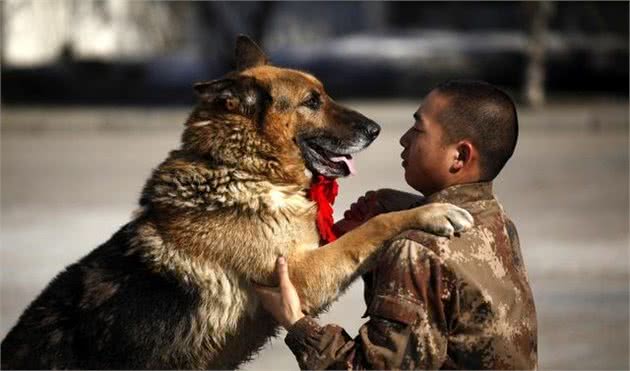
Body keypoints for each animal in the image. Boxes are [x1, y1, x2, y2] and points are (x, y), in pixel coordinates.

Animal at [1, 36, 474, 370]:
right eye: (312, 102)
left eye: (323, 95)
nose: (377, 129)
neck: (243, 170)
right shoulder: (304, 274)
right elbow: (373, 228)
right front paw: (433, 211)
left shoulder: (313, 247)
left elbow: (370, 217)